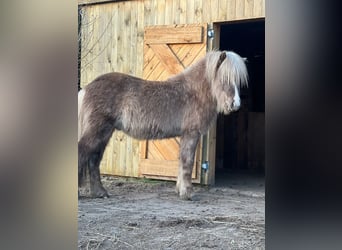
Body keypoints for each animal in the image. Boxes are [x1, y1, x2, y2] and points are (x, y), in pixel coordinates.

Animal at [78, 50, 247, 199]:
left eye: (238, 81)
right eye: (225, 78)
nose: (236, 104)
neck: (193, 92)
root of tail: (86, 88)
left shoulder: (185, 135)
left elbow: (182, 161)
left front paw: (180, 190)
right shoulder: (191, 134)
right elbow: (188, 162)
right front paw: (187, 193)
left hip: (105, 132)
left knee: (94, 159)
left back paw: (100, 193)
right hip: (97, 130)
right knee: (83, 152)